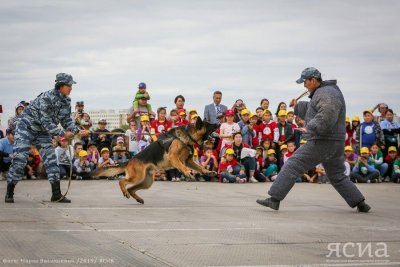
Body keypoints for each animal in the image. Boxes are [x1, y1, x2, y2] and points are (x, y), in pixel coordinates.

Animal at [91, 118, 219, 205]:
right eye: (209, 125)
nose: (218, 122)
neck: (188, 135)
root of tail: (130, 160)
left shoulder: (188, 161)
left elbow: (200, 167)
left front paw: (208, 172)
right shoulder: (173, 157)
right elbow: (181, 166)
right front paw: (187, 173)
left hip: (146, 182)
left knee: (131, 188)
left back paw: (138, 198)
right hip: (137, 177)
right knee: (122, 182)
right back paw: (125, 192)